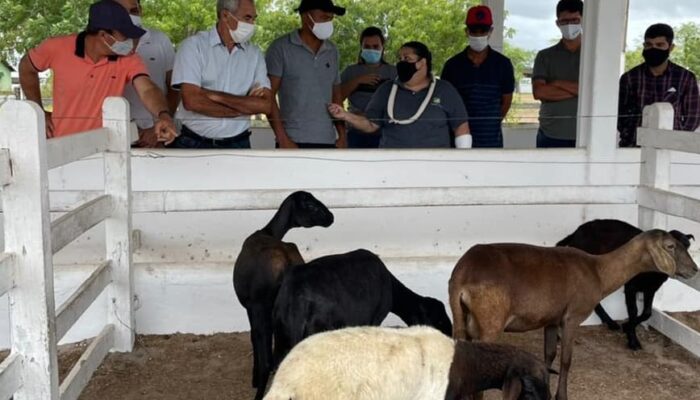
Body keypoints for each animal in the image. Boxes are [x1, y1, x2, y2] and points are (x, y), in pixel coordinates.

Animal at [232, 191, 334, 400]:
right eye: (310, 205)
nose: (331, 218)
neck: (269, 232)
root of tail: (286, 263)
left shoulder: (253, 308)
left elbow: (254, 338)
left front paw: (255, 378)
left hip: (261, 307)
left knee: (265, 355)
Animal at [556, 219, 696, 350]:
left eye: (687, 246)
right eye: (670, 246)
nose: (695, 269)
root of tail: (576, 232)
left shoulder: (651, 288)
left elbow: (647, 312)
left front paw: (627, 327)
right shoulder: (631, 287)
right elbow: (633, 311)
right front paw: (632, 339)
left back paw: (611, 323)